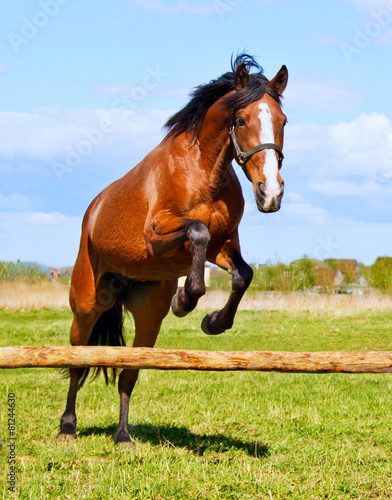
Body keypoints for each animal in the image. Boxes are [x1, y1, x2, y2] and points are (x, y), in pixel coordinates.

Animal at [58, 53, 290, 446]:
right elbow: (196, 234)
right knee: (79, 359)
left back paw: (123, 436)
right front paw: (185, 301)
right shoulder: (159, 236)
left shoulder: (224, 244)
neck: (204, 171)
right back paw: (67, 426)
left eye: (283, 121)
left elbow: (243, 274)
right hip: (88, 304)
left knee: (129, 372)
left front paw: (213, 322)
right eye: (241, 120)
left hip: (149, 316)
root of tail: (93, 209)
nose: (270, 193)